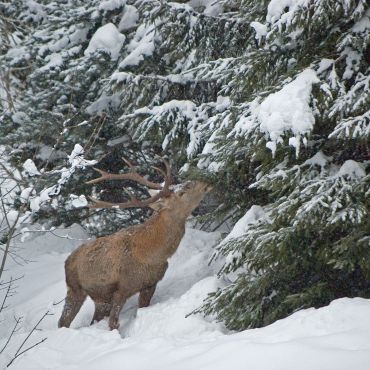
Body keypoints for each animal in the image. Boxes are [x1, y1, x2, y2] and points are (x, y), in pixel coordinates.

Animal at [59, 158, 212, 330]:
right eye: (182, 192)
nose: (205, 181)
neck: (152, 253)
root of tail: (67, 261)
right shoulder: (122, 288)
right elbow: (113, 323)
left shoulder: (150, 283)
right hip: (74, 288)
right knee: (63, 321)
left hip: (100, 298)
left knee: (94, 319)